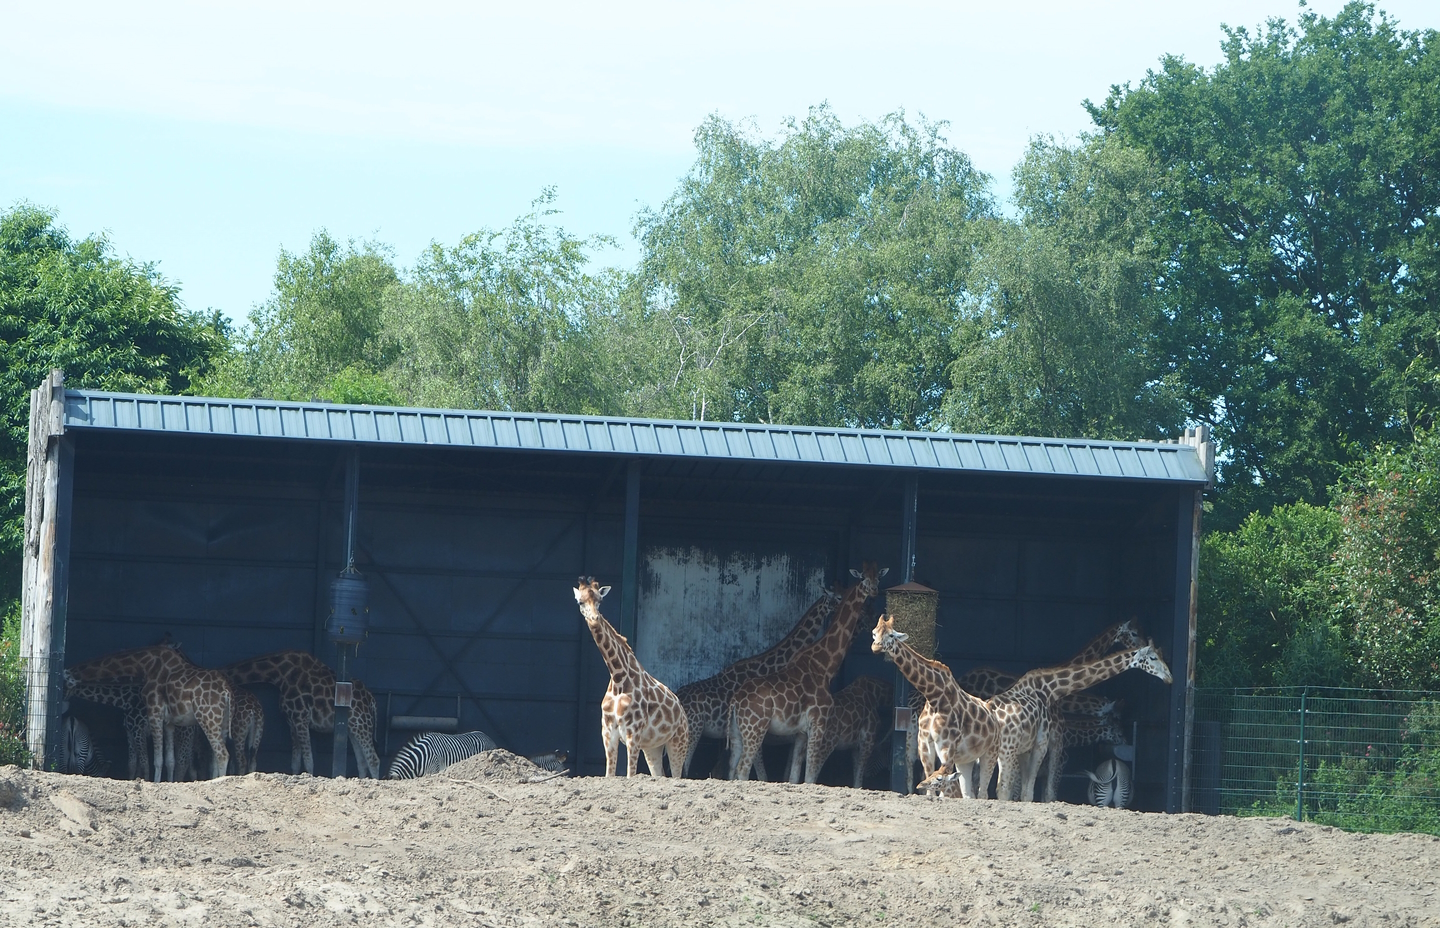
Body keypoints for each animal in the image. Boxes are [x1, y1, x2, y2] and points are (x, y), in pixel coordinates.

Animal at [225, 650, 381, 778]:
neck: (280, 675)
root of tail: (371, 699)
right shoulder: (291, 721)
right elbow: (295, 760)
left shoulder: (301, 717)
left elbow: (308, 760)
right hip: (352, 728)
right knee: (362, 761)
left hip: (361, 724)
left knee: (373, 759)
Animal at [574, 577, 689, 777]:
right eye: (580, 602)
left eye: (600, 601)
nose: (595, 619)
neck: (618, 678)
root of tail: (683, 714)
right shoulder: (608, 733)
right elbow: (609, 775)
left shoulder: (633, 734)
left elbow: (630, 775)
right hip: (653, 747)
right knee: (659, 774)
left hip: (678, 743)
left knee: (676, 775)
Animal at [728, 561, 887, 784]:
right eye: (863, 577)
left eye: (878, 577)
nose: (873, 590)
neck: (825, 665)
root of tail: (735, 701)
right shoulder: (818, 723)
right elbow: (810, 776)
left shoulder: (801, 732)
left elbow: (795, 777)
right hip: (755, 729)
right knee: (742, 769)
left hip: (737, 734)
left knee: (731, 769)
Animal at [871, 614, 999, 798]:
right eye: (874, 633)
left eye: (891, 635)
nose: (876, 647)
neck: (934, 697)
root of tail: (993, 715)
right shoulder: (925, 745)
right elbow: (930, 785)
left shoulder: (946, 746)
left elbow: (944, 784)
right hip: (966, 759)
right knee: (968, 793)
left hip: (990, 753)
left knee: (982, 792)